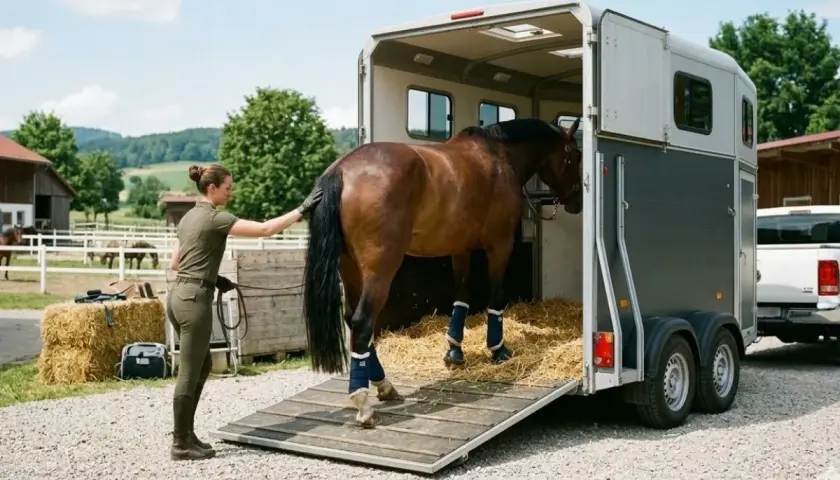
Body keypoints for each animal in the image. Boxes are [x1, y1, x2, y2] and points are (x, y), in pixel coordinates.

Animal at [301, 116, 583, 427]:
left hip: (350, 268)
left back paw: (385, 386)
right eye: (576, 155)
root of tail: (342, 170)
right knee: (363, 323)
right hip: (379, 271)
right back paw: (364, 403)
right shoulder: (500, 245)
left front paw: (454, 351)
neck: (498, 155)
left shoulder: (460, 249)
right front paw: (498, 349)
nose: (577, 202)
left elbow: (461, 297)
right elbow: (496, 297)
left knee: (352, 320)